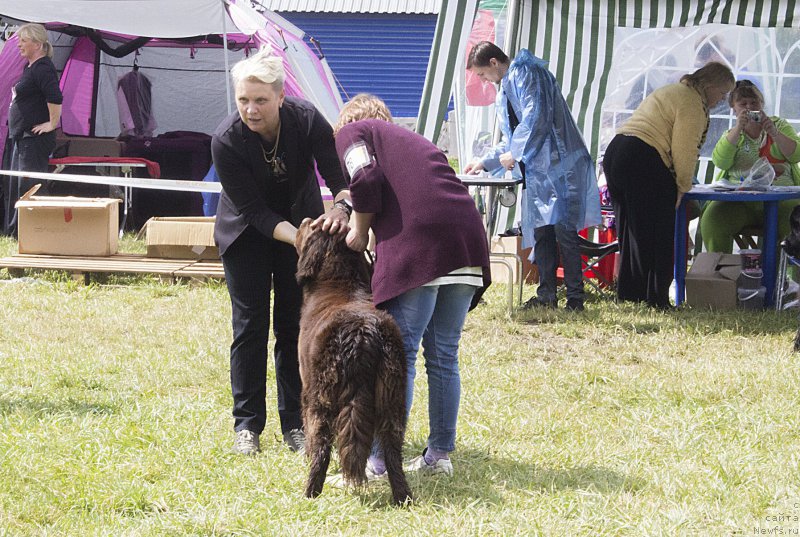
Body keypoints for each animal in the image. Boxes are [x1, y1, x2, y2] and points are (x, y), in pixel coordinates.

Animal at [296, 218, 416, 502]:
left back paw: (311, 492)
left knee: (321, 446)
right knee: (392, 450)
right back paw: (402, 497)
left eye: (311, 226)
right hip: (393, 395)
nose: (304, 220)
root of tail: (362, 333)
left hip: (322, 397)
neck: (338, 280)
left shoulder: (306, 388)